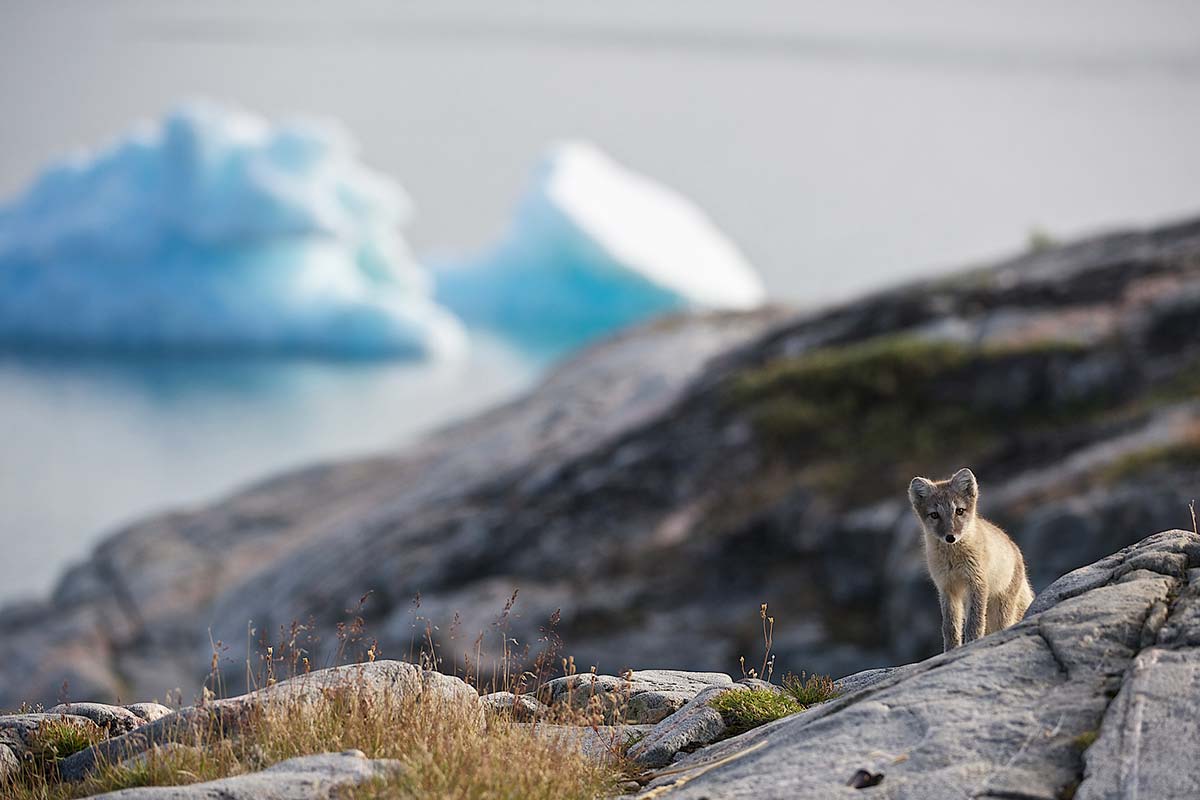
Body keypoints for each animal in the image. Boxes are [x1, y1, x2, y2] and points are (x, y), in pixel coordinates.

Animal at [902, 470, 1036, 652]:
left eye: (959, 511)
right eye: (934, 515)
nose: (950, 537)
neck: (953, 560)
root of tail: (1015, 549)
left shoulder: (977, 583)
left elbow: (975, 622)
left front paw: (972, 642)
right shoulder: (946, 588)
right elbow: (950, 627)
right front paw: (950, 650)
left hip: (1001, 607)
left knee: (1001, 624)